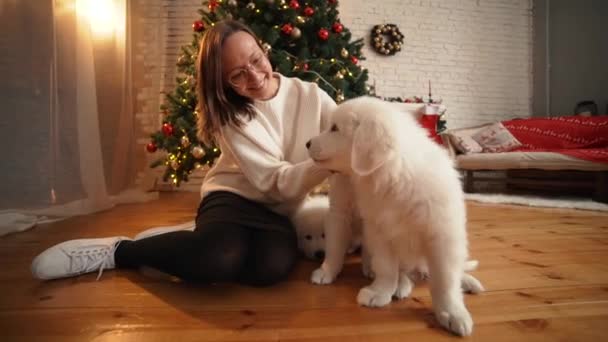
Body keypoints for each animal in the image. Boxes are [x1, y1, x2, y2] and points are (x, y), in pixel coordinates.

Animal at [308, 96, 480, 336]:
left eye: (334, 128)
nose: (307, 143)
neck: (395, 176)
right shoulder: (379, 229)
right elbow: (386, 267)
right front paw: (380, 292)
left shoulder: (442, 234)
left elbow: (445, 279)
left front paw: (452, 313)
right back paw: (401, 285)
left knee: (453, 269)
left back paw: (468, 281)